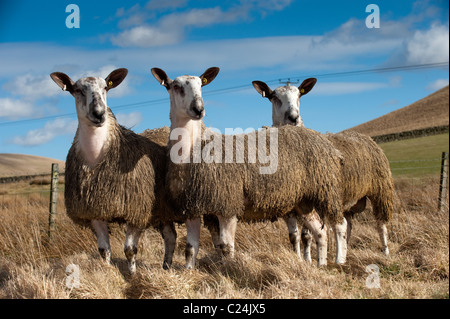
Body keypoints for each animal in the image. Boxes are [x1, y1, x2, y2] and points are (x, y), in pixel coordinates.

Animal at [49, 70, 176, 276]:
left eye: (106, 88)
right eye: (77, 90)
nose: (99, 114)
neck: (97, 154)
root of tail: (163, 129)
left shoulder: (136, 210)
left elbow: (130, 250)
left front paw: (132, 275)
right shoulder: (95, 211)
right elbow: (103, 250)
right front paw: (107, 271)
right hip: (162, 210)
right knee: (171, 237)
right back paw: (166, 266)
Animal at [151, 68, 348, 270]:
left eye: (201, 85)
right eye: (176, 86)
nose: (199, 109)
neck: (194, 148)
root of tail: (322, 140)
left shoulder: (228, 205)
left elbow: (226, 247)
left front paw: (228, 270)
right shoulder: (192, 207)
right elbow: (191, 248)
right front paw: (189, 271)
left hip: (326, 189)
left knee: (340, 224)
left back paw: (339, 261)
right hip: (303, 200)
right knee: (320, 232)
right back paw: (321, 265)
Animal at [251, 79, 396, 258]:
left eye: (299, 95)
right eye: (273, 97)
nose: (294, 118)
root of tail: (364, 136)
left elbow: (306, 236)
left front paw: (308, 260)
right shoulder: (288, 206)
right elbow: (294, 237)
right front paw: (299, 258)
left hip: (380, 189)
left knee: (380, 223)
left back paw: (385, 252)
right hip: (346, 200)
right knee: (347, 225)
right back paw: (344, 252)